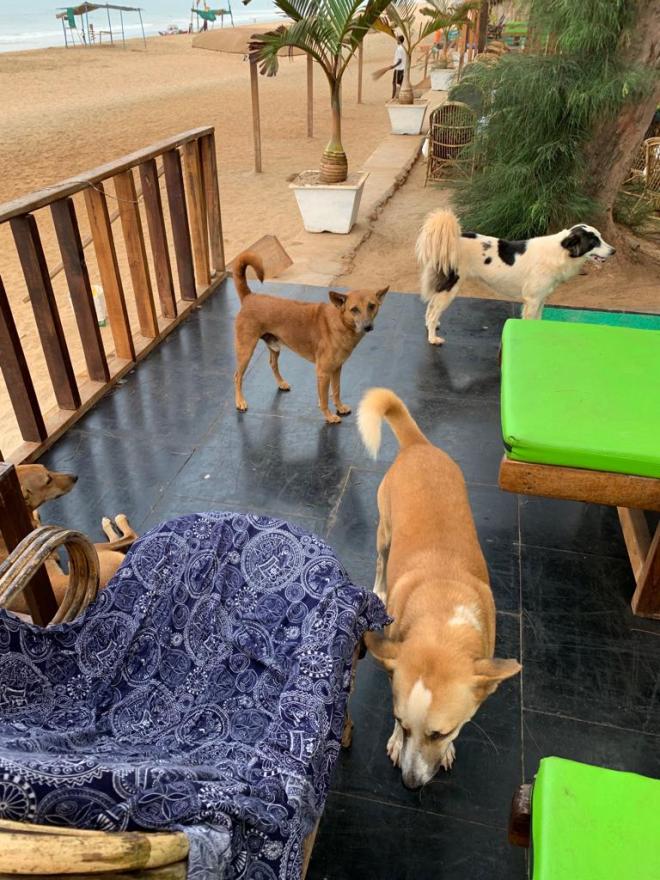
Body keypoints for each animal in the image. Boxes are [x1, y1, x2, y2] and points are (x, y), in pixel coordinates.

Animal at [1, 464, 137, 615]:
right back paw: (113, 521)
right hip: (95, 548)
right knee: (130, 536)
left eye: (46, 468)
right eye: (48, 480)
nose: (75, 477)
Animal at [232, 252, 389, 423]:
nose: (367, 326)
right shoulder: (323, 372)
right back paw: (240, 402)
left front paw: (340, 407)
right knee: (237, 376)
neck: (339, 323)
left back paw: (281, 383)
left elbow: (336, 390)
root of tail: (249, 296)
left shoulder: (336, 368)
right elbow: (324, 399)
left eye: (371, 306)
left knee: (272, 364)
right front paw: (329, 416)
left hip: (274, 346)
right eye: (354, 309)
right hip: (246, 351)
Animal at [357, 388, 520, 789]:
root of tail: (418, 446)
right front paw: (395, 744)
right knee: (381, 560)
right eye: (401, 723)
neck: (442, 612)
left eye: (442, 733)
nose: (409, 783)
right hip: (384, 532)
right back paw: (380, 588)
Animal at [416, 209, 616, 344]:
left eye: (600, 237)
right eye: (593, 242)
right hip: (450, 287)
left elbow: (538, 320)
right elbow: (530, 321)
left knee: (430, 306)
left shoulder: (541, 298)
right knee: (433, 311)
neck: (560, 252)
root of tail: (452, 239)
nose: (614, 251)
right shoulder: (532, 300)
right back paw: (433, 338)